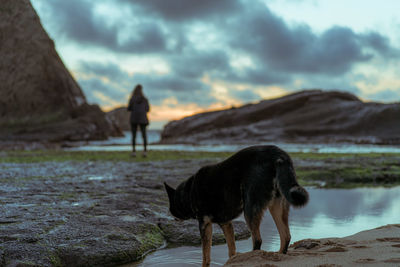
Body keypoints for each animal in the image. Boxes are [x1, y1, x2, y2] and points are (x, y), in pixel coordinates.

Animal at [164, 146, 308, 266]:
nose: (172, 217)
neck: (188, 192)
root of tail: (278, 155)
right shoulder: (226, 223)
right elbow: (231, 249)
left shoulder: (205, 225)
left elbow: (206, 255)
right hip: (276, 207)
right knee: (286, 236)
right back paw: (278, 256)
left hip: (250, 209)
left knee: (258, 240)